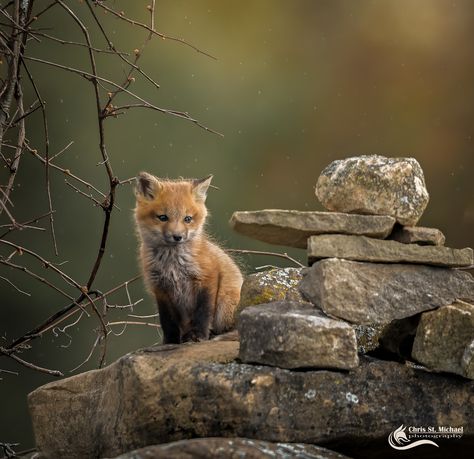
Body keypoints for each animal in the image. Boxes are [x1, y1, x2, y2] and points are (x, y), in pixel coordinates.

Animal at [135, 173, 243, 344]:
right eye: (163, 217)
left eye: (187, 219)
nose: (177, 236)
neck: (172, 264)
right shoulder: (160, 288)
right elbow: (167, 321)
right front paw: (170, 341)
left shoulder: (207, 278)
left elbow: (203, 312)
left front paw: (198, 335)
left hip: (225, 305)